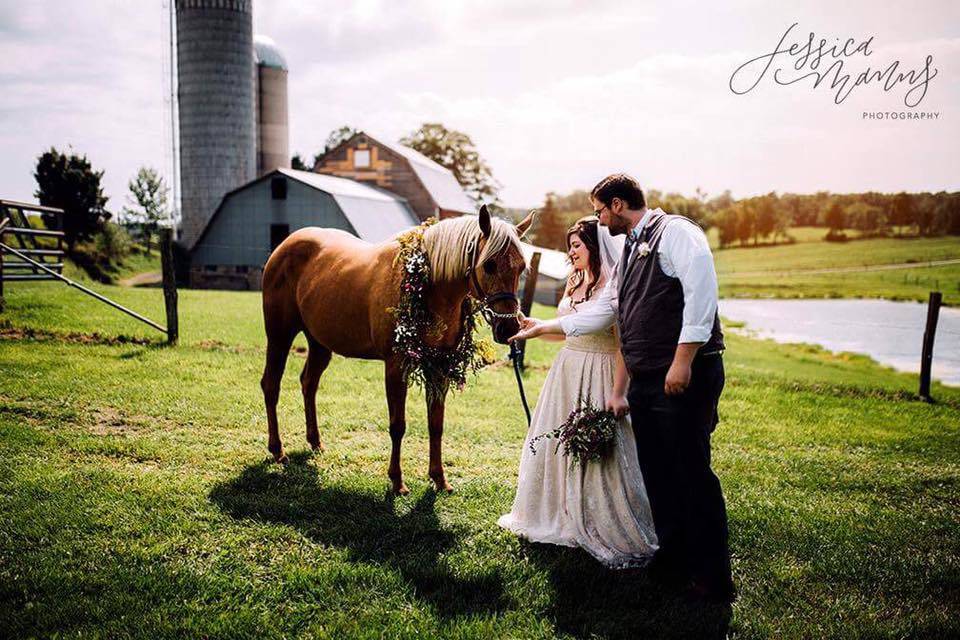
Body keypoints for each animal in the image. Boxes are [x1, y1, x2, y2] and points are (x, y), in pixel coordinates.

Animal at [260, 206, 532, 496]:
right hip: (279, 336)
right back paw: (277, 450)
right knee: (271, 385)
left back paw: (315, 442)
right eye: (489, 264)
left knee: (308, 383)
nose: (509, 327)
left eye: (521, 267)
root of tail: (285, 245)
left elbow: (436, 424)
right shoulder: (396, 366)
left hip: (320, 344)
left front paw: (439, 479)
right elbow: (397, 425)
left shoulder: (439, 365)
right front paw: (397, 481)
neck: (426, 284)